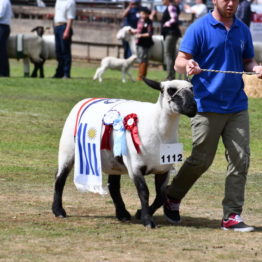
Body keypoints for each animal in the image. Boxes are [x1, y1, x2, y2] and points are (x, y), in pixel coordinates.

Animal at [51, 77, 196, 227]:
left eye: (192, 89)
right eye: (170, 90)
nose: (193, 108)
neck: (157, 128)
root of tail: (86, 100)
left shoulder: (163, 168)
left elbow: (161, 196)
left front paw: (140, 213)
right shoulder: (135, 166)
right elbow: (144, 192)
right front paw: (147, 220)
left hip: (113, 161)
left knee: (113, 186)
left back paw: (122, 214)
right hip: (68, 148)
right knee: (60, 177)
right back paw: (58, 211)